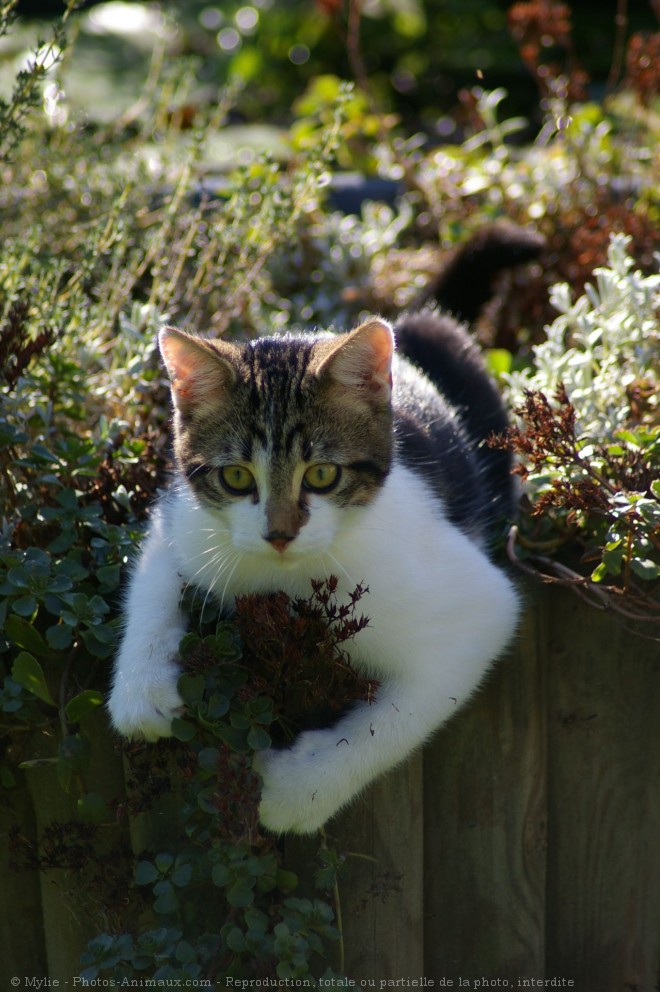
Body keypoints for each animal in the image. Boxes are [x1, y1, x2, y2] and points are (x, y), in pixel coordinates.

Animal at [105, 229, 532, 832]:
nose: (279, 533)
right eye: (237, 476)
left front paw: (294, 792)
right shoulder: (184, 514)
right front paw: (142, 688)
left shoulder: (477, 605)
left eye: (323, 474)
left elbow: (401, 714)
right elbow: (155, 572)